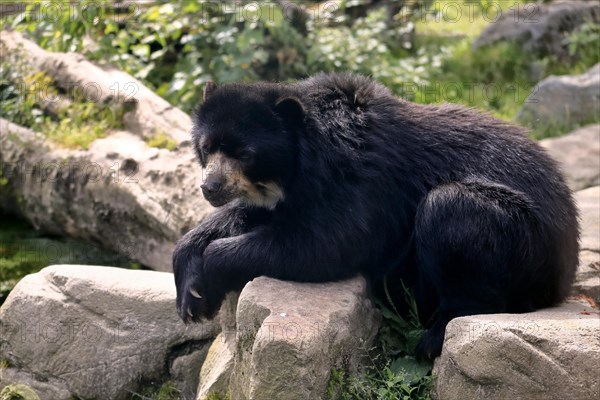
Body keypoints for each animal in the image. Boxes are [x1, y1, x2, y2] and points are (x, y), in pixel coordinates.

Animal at [172, 73, 576, 360]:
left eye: (245, 153)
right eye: (207, 148)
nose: (210, 187)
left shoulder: (359, 177)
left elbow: (326, 243)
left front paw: (211, 275)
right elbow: (249, 217)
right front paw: (191, 295)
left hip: (524, 238)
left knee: (451, 209)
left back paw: (434, 338)